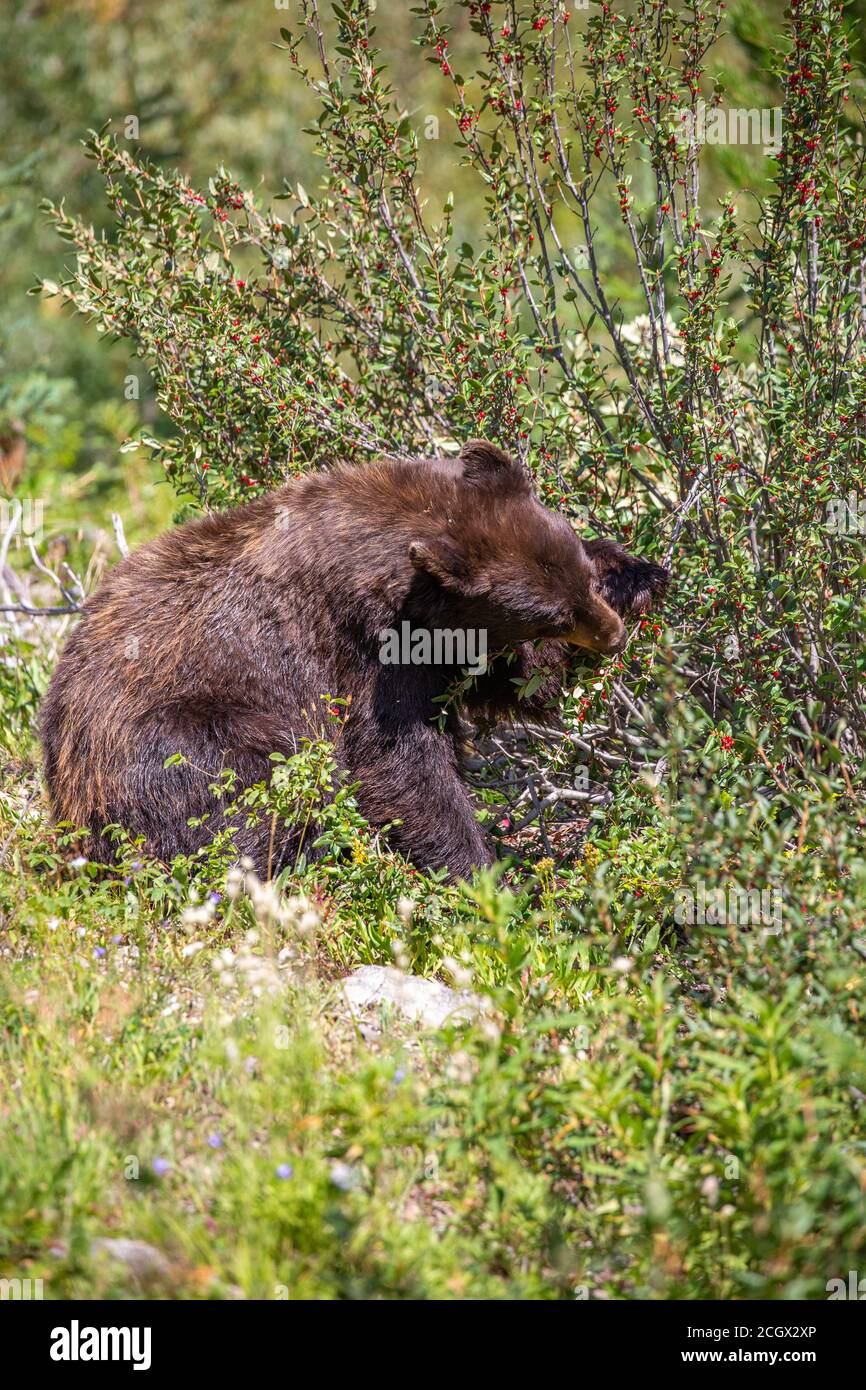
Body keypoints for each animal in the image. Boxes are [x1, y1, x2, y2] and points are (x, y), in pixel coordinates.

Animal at [40, 440, 668, 879]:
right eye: (552, 616)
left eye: (581, 581)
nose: (613, 637)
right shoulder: (361, 650)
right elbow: (399, 760)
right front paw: (480, 871)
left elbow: (504, 683)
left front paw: (638, 572)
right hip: (180, 740)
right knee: (252, 789)